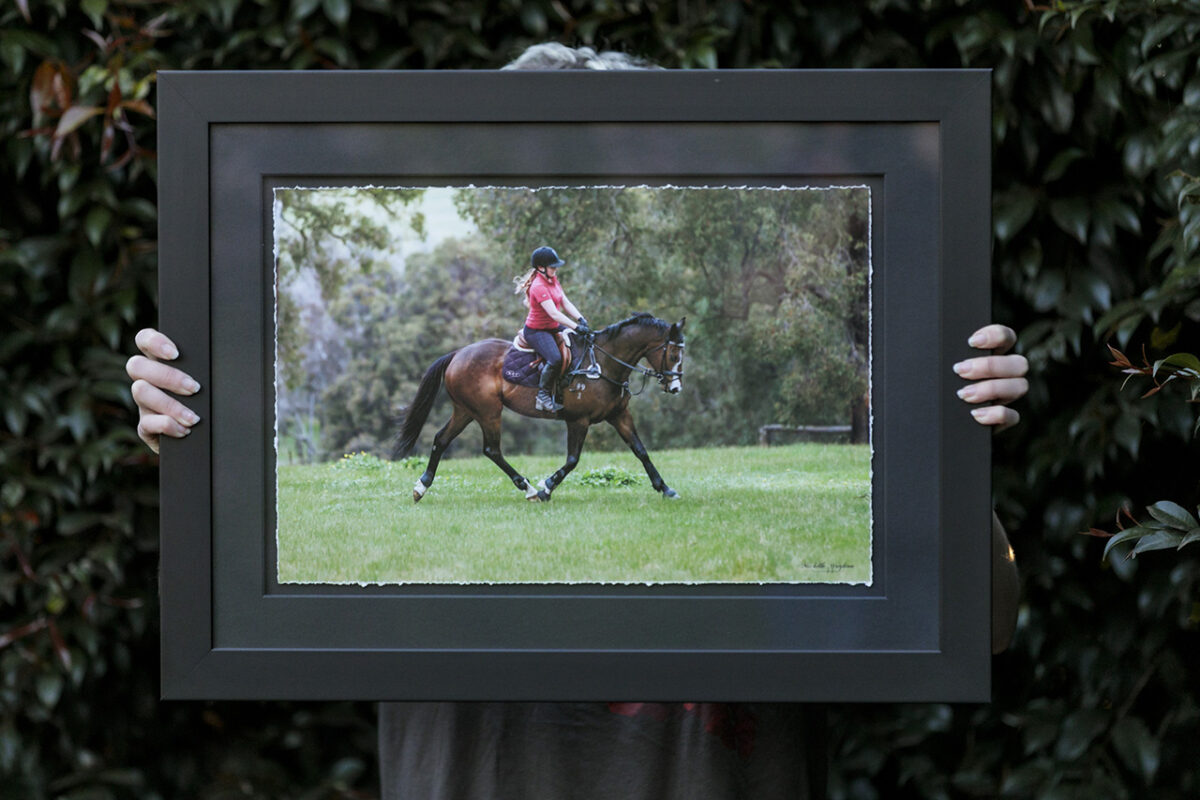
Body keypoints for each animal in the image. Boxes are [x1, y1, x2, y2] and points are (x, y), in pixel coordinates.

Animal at [396, 311, 686, 501]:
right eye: (673, 354)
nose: (675, 388)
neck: (602, 364)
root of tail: (457, 354)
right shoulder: (578, 420)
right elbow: (572, 460)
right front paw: (546, 487)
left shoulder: (619, 415)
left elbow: (641, 451)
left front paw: (665, 489)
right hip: (488, 412)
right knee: (492, 450)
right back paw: (529, 489)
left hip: (466, 411)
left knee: (441, 440)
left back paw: (421, 487)